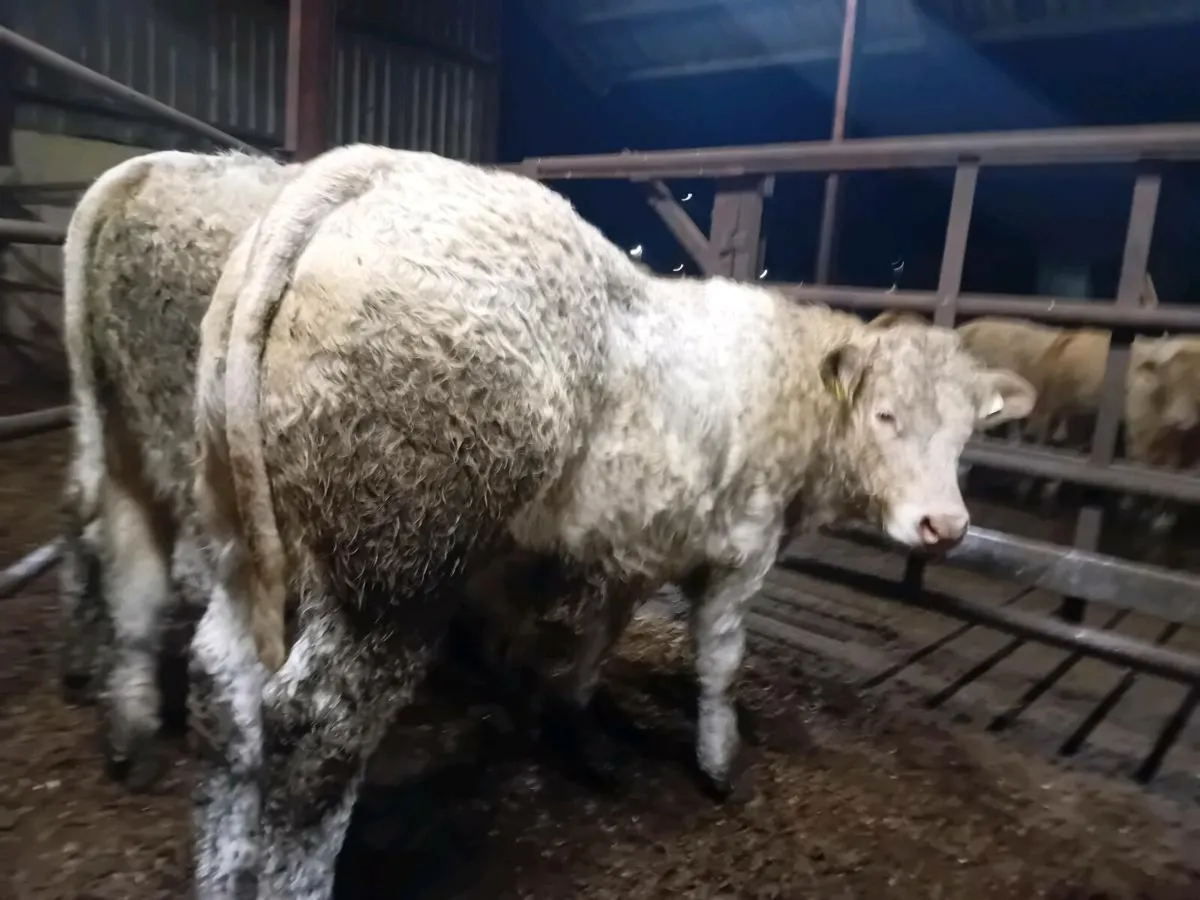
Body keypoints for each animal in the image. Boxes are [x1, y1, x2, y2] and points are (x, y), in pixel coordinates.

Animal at [190, 143, 1036, 899]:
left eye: (968, 432)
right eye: (886, 415)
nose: (944, 525)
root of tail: (370, 168)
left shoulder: (636, 545)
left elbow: (596, 644)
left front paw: (582, 738)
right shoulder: (743, 550)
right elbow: (720, 661)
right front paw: (717, 764)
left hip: (243, 532)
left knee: (220, 682)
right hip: (398, 566)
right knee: (319, 725)